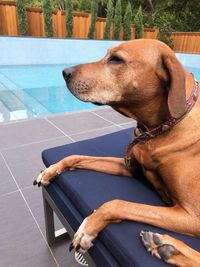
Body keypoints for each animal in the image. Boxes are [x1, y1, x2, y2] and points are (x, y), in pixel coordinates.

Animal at [34, 39, 200, 267]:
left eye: (116, 59)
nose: (65, 72)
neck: (159, 129)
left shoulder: (193, 216)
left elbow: (117, 203)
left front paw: (88, 227)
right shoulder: (129, 166)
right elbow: (75, 157)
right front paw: (51, 169)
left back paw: (167, 246)